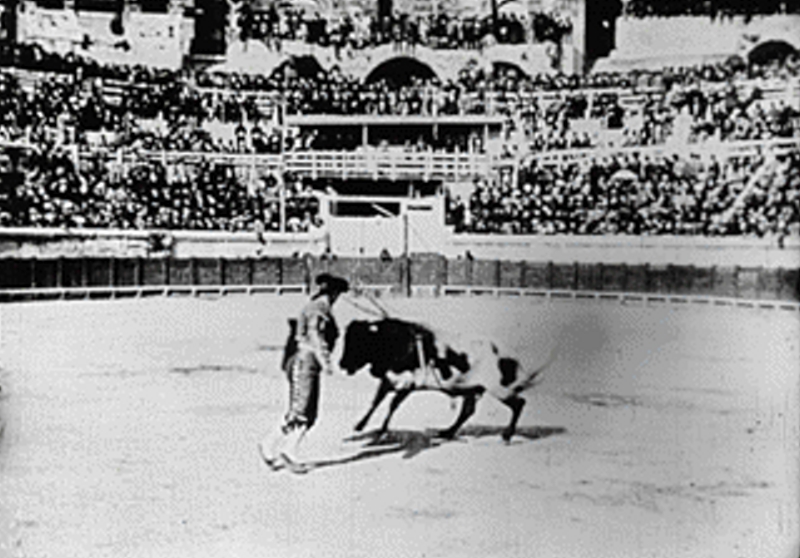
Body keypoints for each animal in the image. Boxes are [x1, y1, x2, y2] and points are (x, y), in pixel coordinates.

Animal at [338, 318, 555, 443]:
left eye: (360, 341)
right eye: (347, 339)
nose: (342, 364)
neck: (400, 343)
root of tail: (503, 352)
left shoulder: (407, 384)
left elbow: (392, 405)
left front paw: (380, 430)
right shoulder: (390, 380)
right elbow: (377, 400)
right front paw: (361, 425)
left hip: (498, 389)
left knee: (518, 404)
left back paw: (507, 435)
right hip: (472, 389)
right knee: (468, 411)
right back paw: (447, 432)